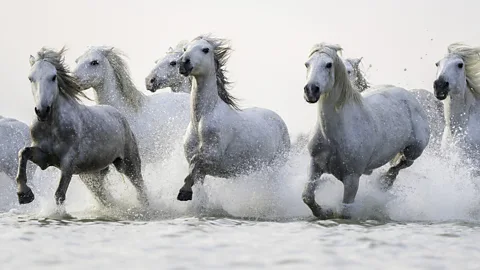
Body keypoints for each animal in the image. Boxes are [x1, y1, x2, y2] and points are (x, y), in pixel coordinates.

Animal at [16, 47, 148, 206]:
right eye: (31, 78)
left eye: (53, 77)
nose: (42, 111)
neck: (52, 126)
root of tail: (118, 114)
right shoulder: (44, 158)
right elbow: (23, 152)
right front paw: (24, 194)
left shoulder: (68, 163)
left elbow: (59, 194)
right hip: (94, 173)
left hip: (128, 164)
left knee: (140, 188)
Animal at [175, 35, 288, 200]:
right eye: (185, 48)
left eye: (205, 49)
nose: (184, 62)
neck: (201, 119)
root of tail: (279, 120)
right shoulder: (199, 168)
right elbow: (194, 171)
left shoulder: (212, 156)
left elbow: (196, 161)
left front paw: (184, 191)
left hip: (276, 167)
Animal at [302, 43, 430, 218]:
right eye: (307, 64)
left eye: (328, 64)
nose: (311, 90)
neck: (334, 135)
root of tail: (409, 96)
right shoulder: (315, 165)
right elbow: (307, 196)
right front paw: (324, 212)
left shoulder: (352, 178)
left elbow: (344, 211)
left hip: (414, 149)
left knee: (403, 162)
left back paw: (384, 183)